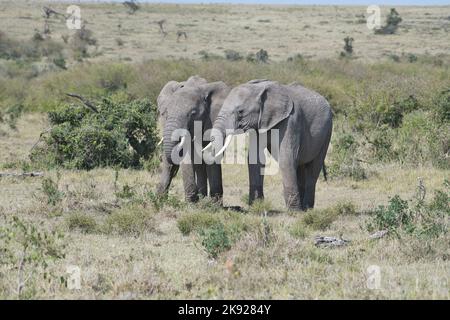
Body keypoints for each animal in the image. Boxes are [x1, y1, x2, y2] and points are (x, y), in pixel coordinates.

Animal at [206, 79, 332, 211]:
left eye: (240, 112)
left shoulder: (291, 120)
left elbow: (287, 158)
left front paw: (294, 212)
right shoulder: (259, 123)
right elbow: (255, 159)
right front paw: (256, 206)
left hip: (327, 131)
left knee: (313, 168)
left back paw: (307, 209)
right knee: (301, 167)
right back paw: (304, 207)